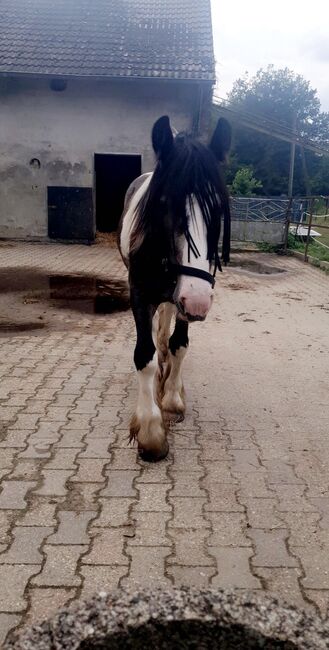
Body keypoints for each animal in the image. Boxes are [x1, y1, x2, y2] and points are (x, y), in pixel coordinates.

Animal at [118, 116, 231, 460]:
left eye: (217, 210)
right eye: (166, 205)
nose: (197, 301)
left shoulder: (187, 300)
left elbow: (180, 344)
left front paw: (171, 400)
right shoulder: (140, 294)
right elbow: (145, 354)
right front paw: (150, 431)